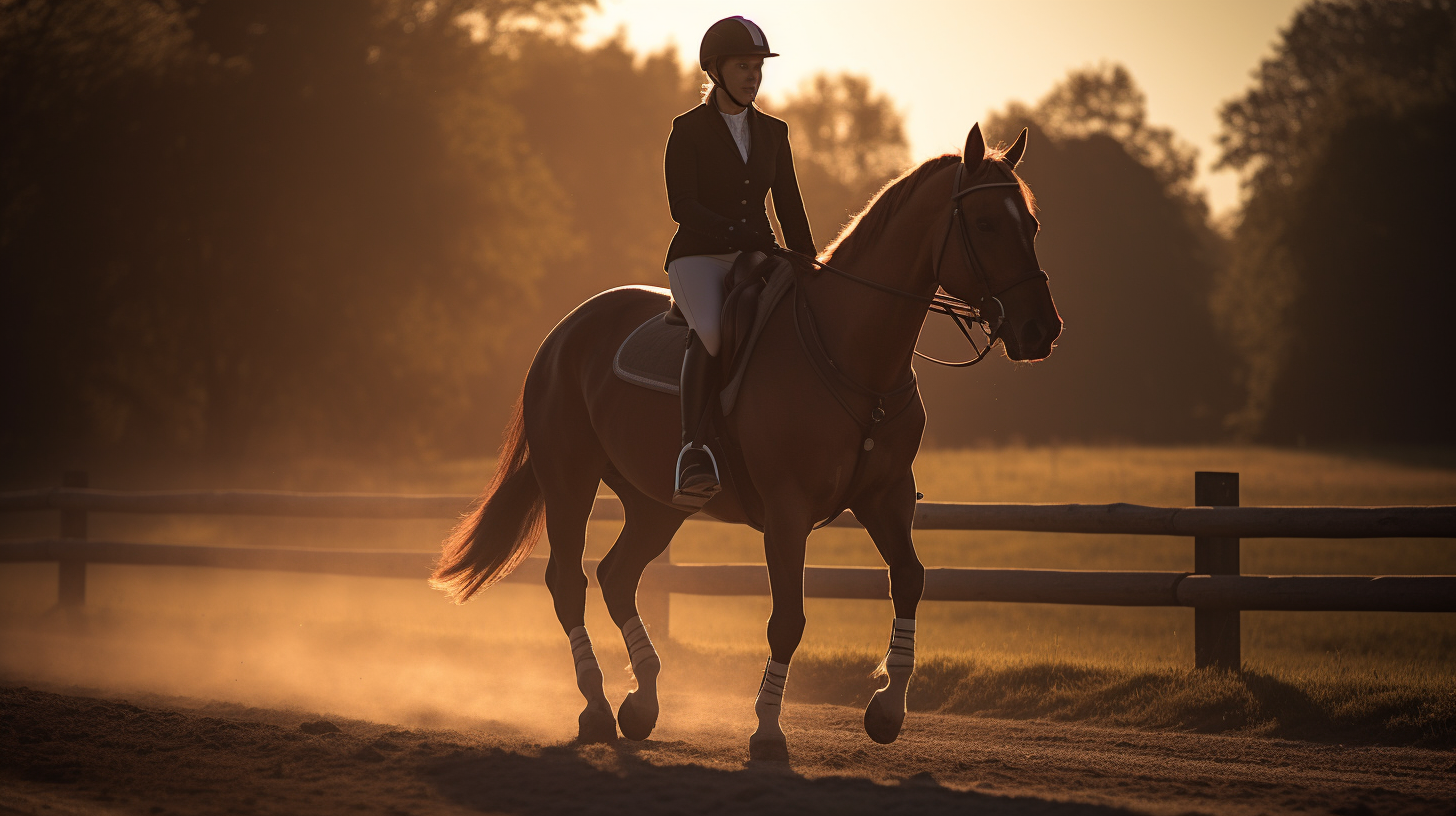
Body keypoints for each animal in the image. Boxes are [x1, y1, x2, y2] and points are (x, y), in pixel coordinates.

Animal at [428, 124, 1059, 763]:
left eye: (1030, 224)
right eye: (986, 224)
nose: (1041, 330)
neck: (852, 354)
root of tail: (564, 331)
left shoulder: (886, 496)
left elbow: (908, 579)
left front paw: (886, 710)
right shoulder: (787, 510)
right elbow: (788, 620)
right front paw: (768, 731)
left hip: (656, 503)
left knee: (618, 575)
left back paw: (642, 702)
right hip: (570, 480)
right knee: (569, 583)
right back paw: (598, 708)